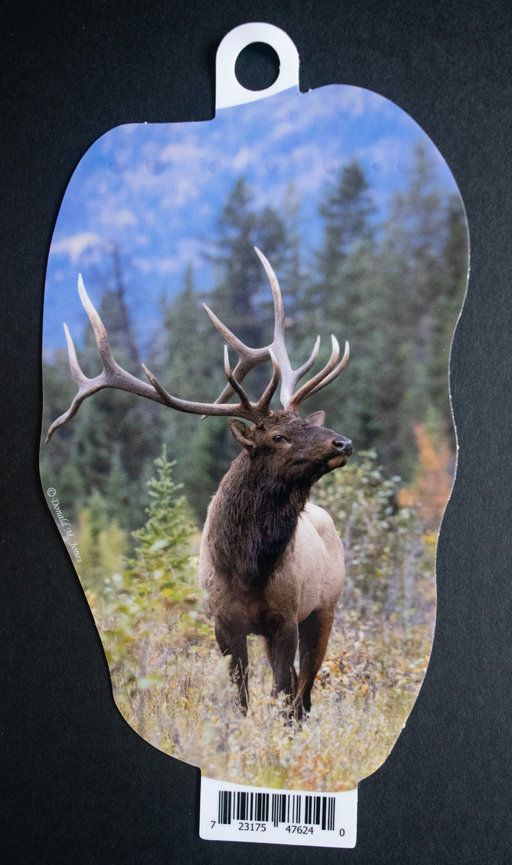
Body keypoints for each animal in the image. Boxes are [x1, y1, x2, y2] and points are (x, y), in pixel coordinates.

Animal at [47, 248, 353, 720]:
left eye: (306, 423)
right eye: (279, 436)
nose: (343, 441)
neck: (247, 569)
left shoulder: (285, 617)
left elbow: (281, 694)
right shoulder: (224, 623)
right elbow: (241, 699)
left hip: (325, 606)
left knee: (303, 695)